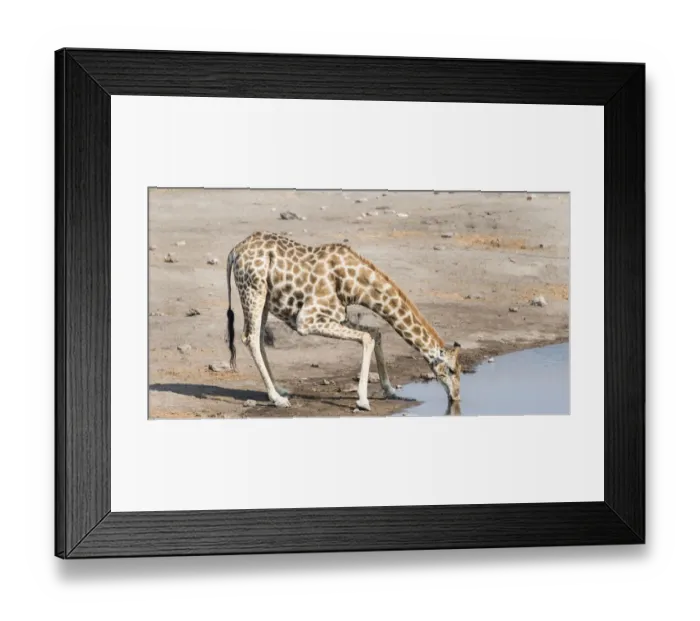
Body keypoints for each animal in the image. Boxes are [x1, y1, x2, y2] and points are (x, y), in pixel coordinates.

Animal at [226, 232, 462, 411]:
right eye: (451, 370)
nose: (457, 396)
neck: (354, 285)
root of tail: (234, 251)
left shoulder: (338, 316)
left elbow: (375, 332)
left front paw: (391, 390)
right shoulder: (306, 320)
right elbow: (366, 337)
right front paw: (364, 401)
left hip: (264, 299)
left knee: (258, 337)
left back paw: (280, 390)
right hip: (253, 291)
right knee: (250, 338)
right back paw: (277, 399)